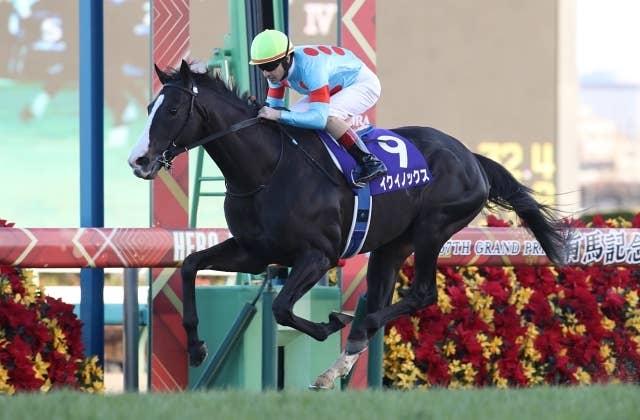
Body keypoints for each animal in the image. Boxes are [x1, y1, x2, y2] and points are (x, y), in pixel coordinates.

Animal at [128, 60, 567, 389]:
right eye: (149, 107)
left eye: (171, 110)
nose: (138, 160)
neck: (268, 170)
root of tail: (471, 157)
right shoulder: (253, 251)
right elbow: (189, 265)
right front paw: (197, 347)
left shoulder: (318, 256)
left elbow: (282, 308)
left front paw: (327, 325)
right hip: (392, 246)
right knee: (385, 295)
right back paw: (335, 364)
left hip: (434, 228)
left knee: (419, 295)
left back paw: (352, 327)